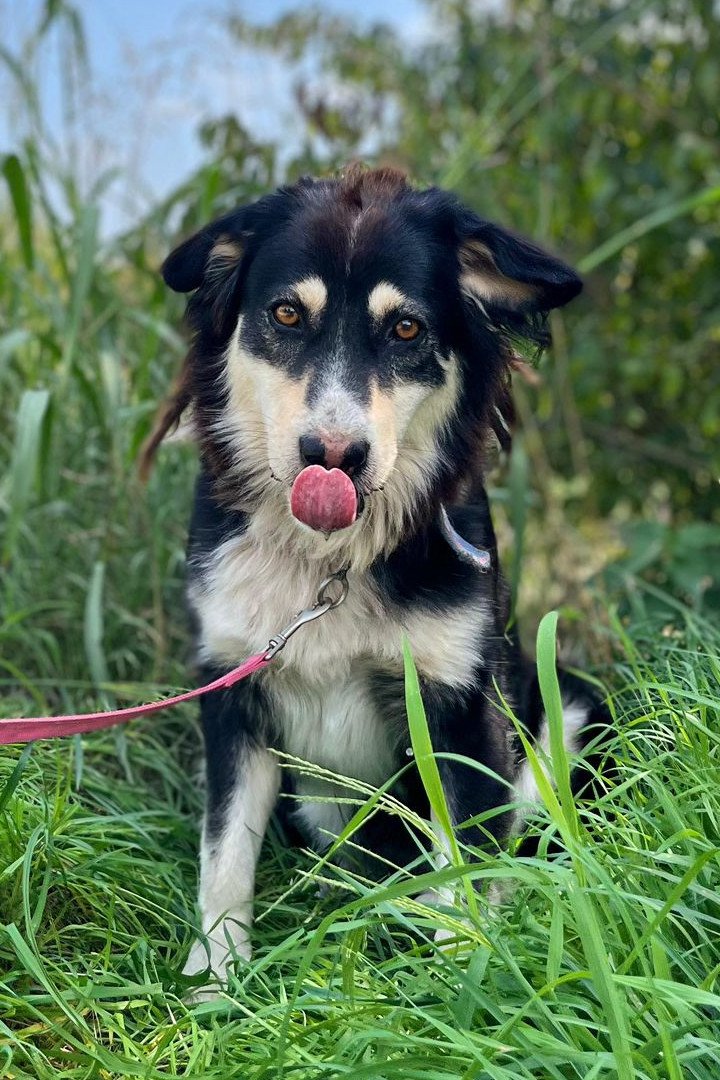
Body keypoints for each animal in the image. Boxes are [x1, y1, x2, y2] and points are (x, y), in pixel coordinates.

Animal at [144, 164, 608, 988]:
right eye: (287, 314)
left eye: (406, 331)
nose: (334, 457)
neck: (330, 564)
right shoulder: (233, 693)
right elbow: (223, 852)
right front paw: (218, 982)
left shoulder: (460, 703)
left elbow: (468, 859)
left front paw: (463, 981)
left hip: (577, 709)